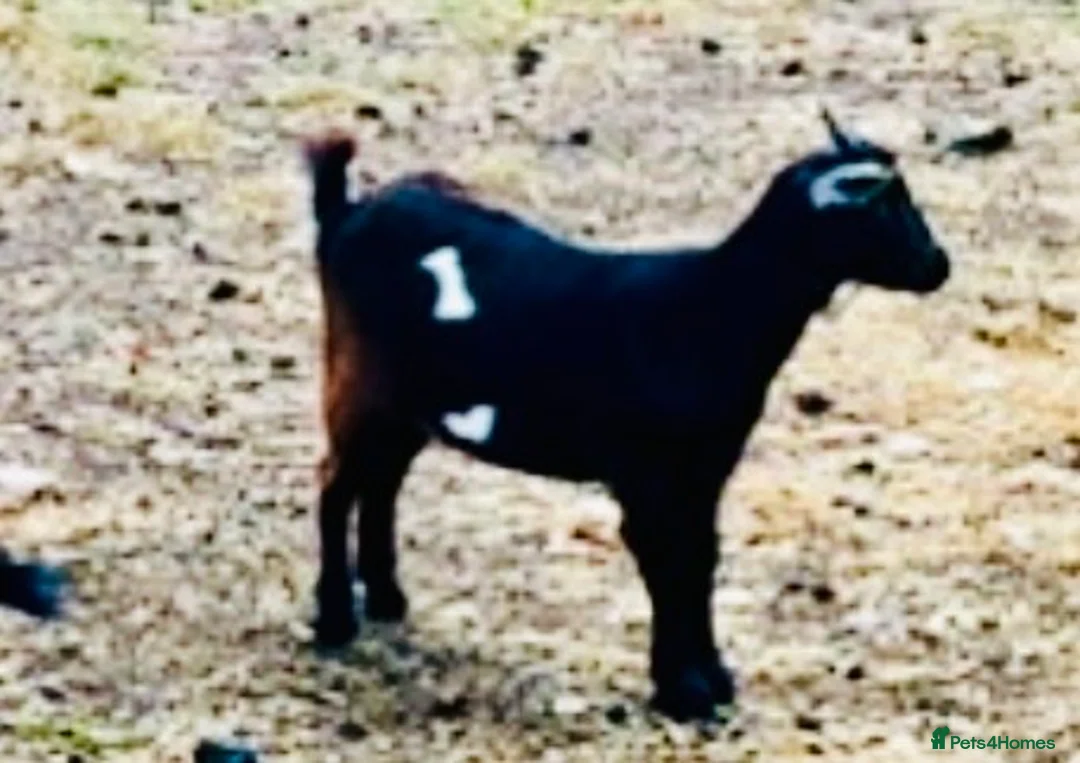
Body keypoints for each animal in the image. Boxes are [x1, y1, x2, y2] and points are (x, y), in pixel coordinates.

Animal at [302, 112, 950, 721]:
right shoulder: (647, 474)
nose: (938, 265)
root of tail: (345, 214)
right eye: (884, 207)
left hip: (406, 409)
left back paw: (386, 599)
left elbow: (700, 559)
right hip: (359, 387)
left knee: (380, 484)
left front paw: (711, 679)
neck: (711, 307)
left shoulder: (705, 470)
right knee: (336, 485)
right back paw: (335, 619)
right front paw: (682, 690)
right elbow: (666, 563)